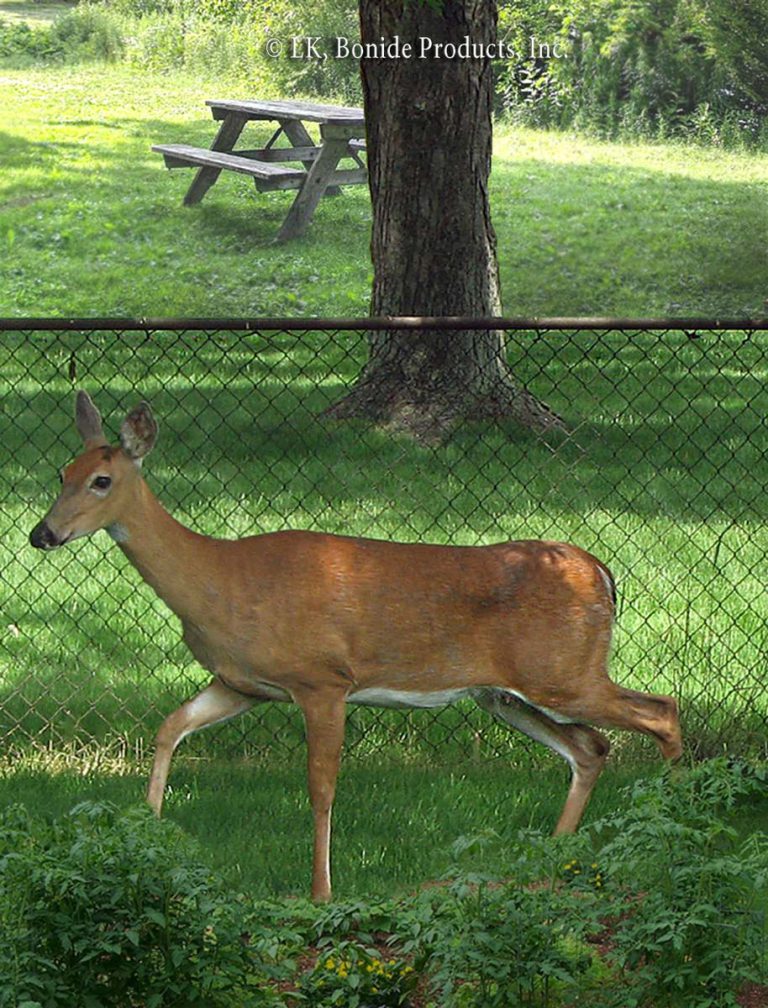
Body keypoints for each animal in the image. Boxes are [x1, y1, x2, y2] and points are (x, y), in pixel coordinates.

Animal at [29, 391, 682, 901]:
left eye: (102, 480)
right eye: (61, 473)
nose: (43, 534)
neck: (221, 582)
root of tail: (601, 573)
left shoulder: (322, 679)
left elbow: (321, 786)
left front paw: (321, 891)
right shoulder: (243, 684)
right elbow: (169, 728)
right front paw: (146, 837)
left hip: (563, 672)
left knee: (661, 711)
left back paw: (679, 826)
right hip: (508, 693)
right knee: (591, 747)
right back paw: (549, 856)